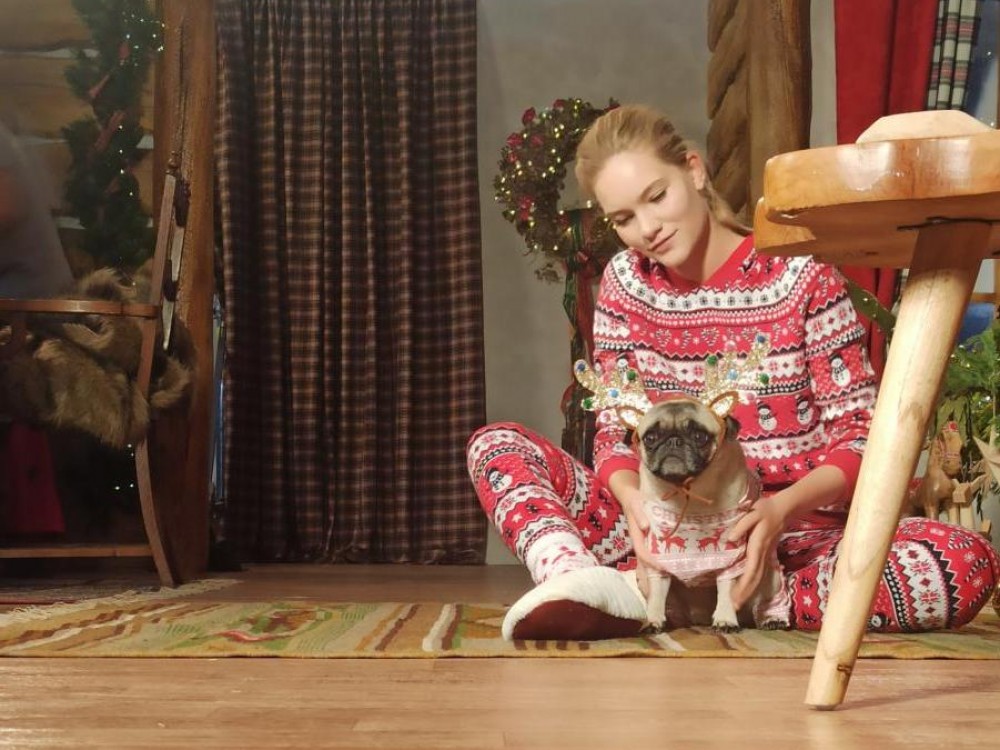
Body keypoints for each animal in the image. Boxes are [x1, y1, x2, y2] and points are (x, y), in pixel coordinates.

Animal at [635, 397, 789, 632]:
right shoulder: (658, 558)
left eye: (699, 436)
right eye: (650, 438)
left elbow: (726, 590)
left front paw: (725, 618)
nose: (673, 441)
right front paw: (653, 619)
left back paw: (772, 618)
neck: (689, 493)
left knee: (766, 600)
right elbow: (657, 593)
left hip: (770, 577)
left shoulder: (731, 557)